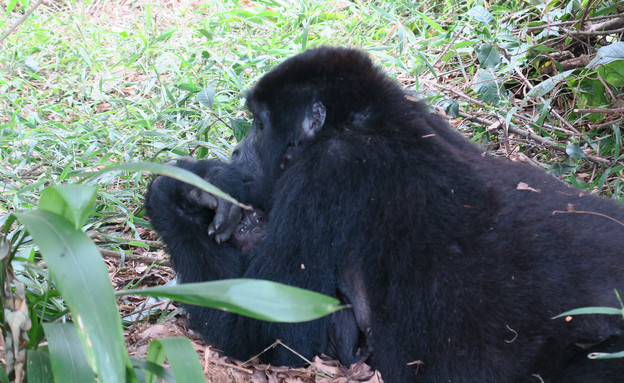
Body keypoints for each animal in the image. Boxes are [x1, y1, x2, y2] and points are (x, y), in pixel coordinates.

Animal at [145, 46, 624, 382]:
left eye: (260, 126)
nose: (236, 152)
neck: (365, 121)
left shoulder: (329, 172)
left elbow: (264, 331)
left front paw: (174, 190)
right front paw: (206, 183)